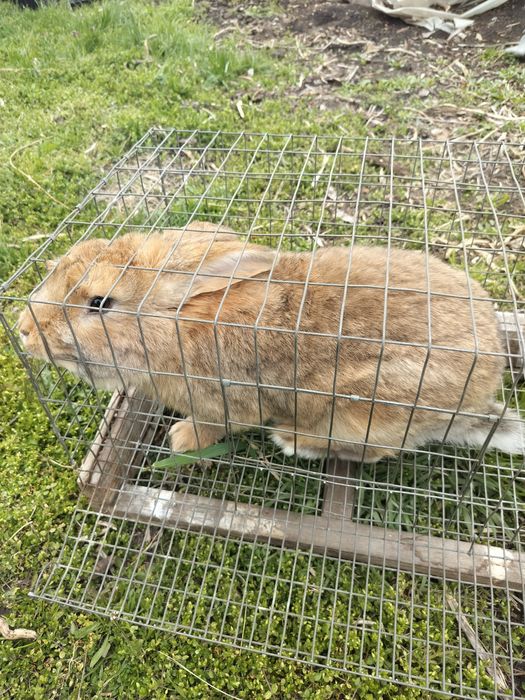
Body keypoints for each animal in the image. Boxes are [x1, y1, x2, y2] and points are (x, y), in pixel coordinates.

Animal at [18, 221, 524, 463]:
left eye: (99, 303)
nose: (23, 329)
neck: (174, 326)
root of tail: (478, 396)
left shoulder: (230, 401)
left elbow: (217, 426)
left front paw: (182, 440)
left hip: (367, 409)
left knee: (374, 450)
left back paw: (293, 441)